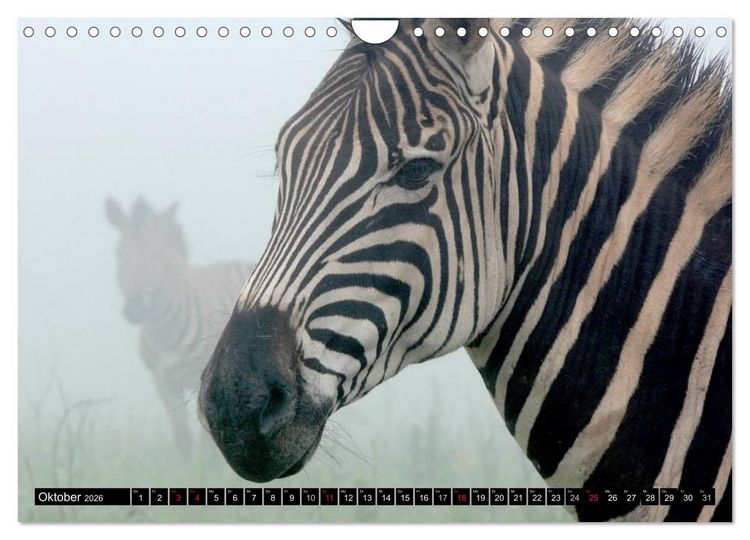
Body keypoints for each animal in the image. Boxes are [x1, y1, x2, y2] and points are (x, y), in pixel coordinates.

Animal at [106, 197, 253, 456]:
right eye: (118, 253)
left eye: (153, 257)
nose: (134, 310)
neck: (163, 332)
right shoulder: (163, 381)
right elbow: (183, 438)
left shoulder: (204, 381)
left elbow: (207, 447)